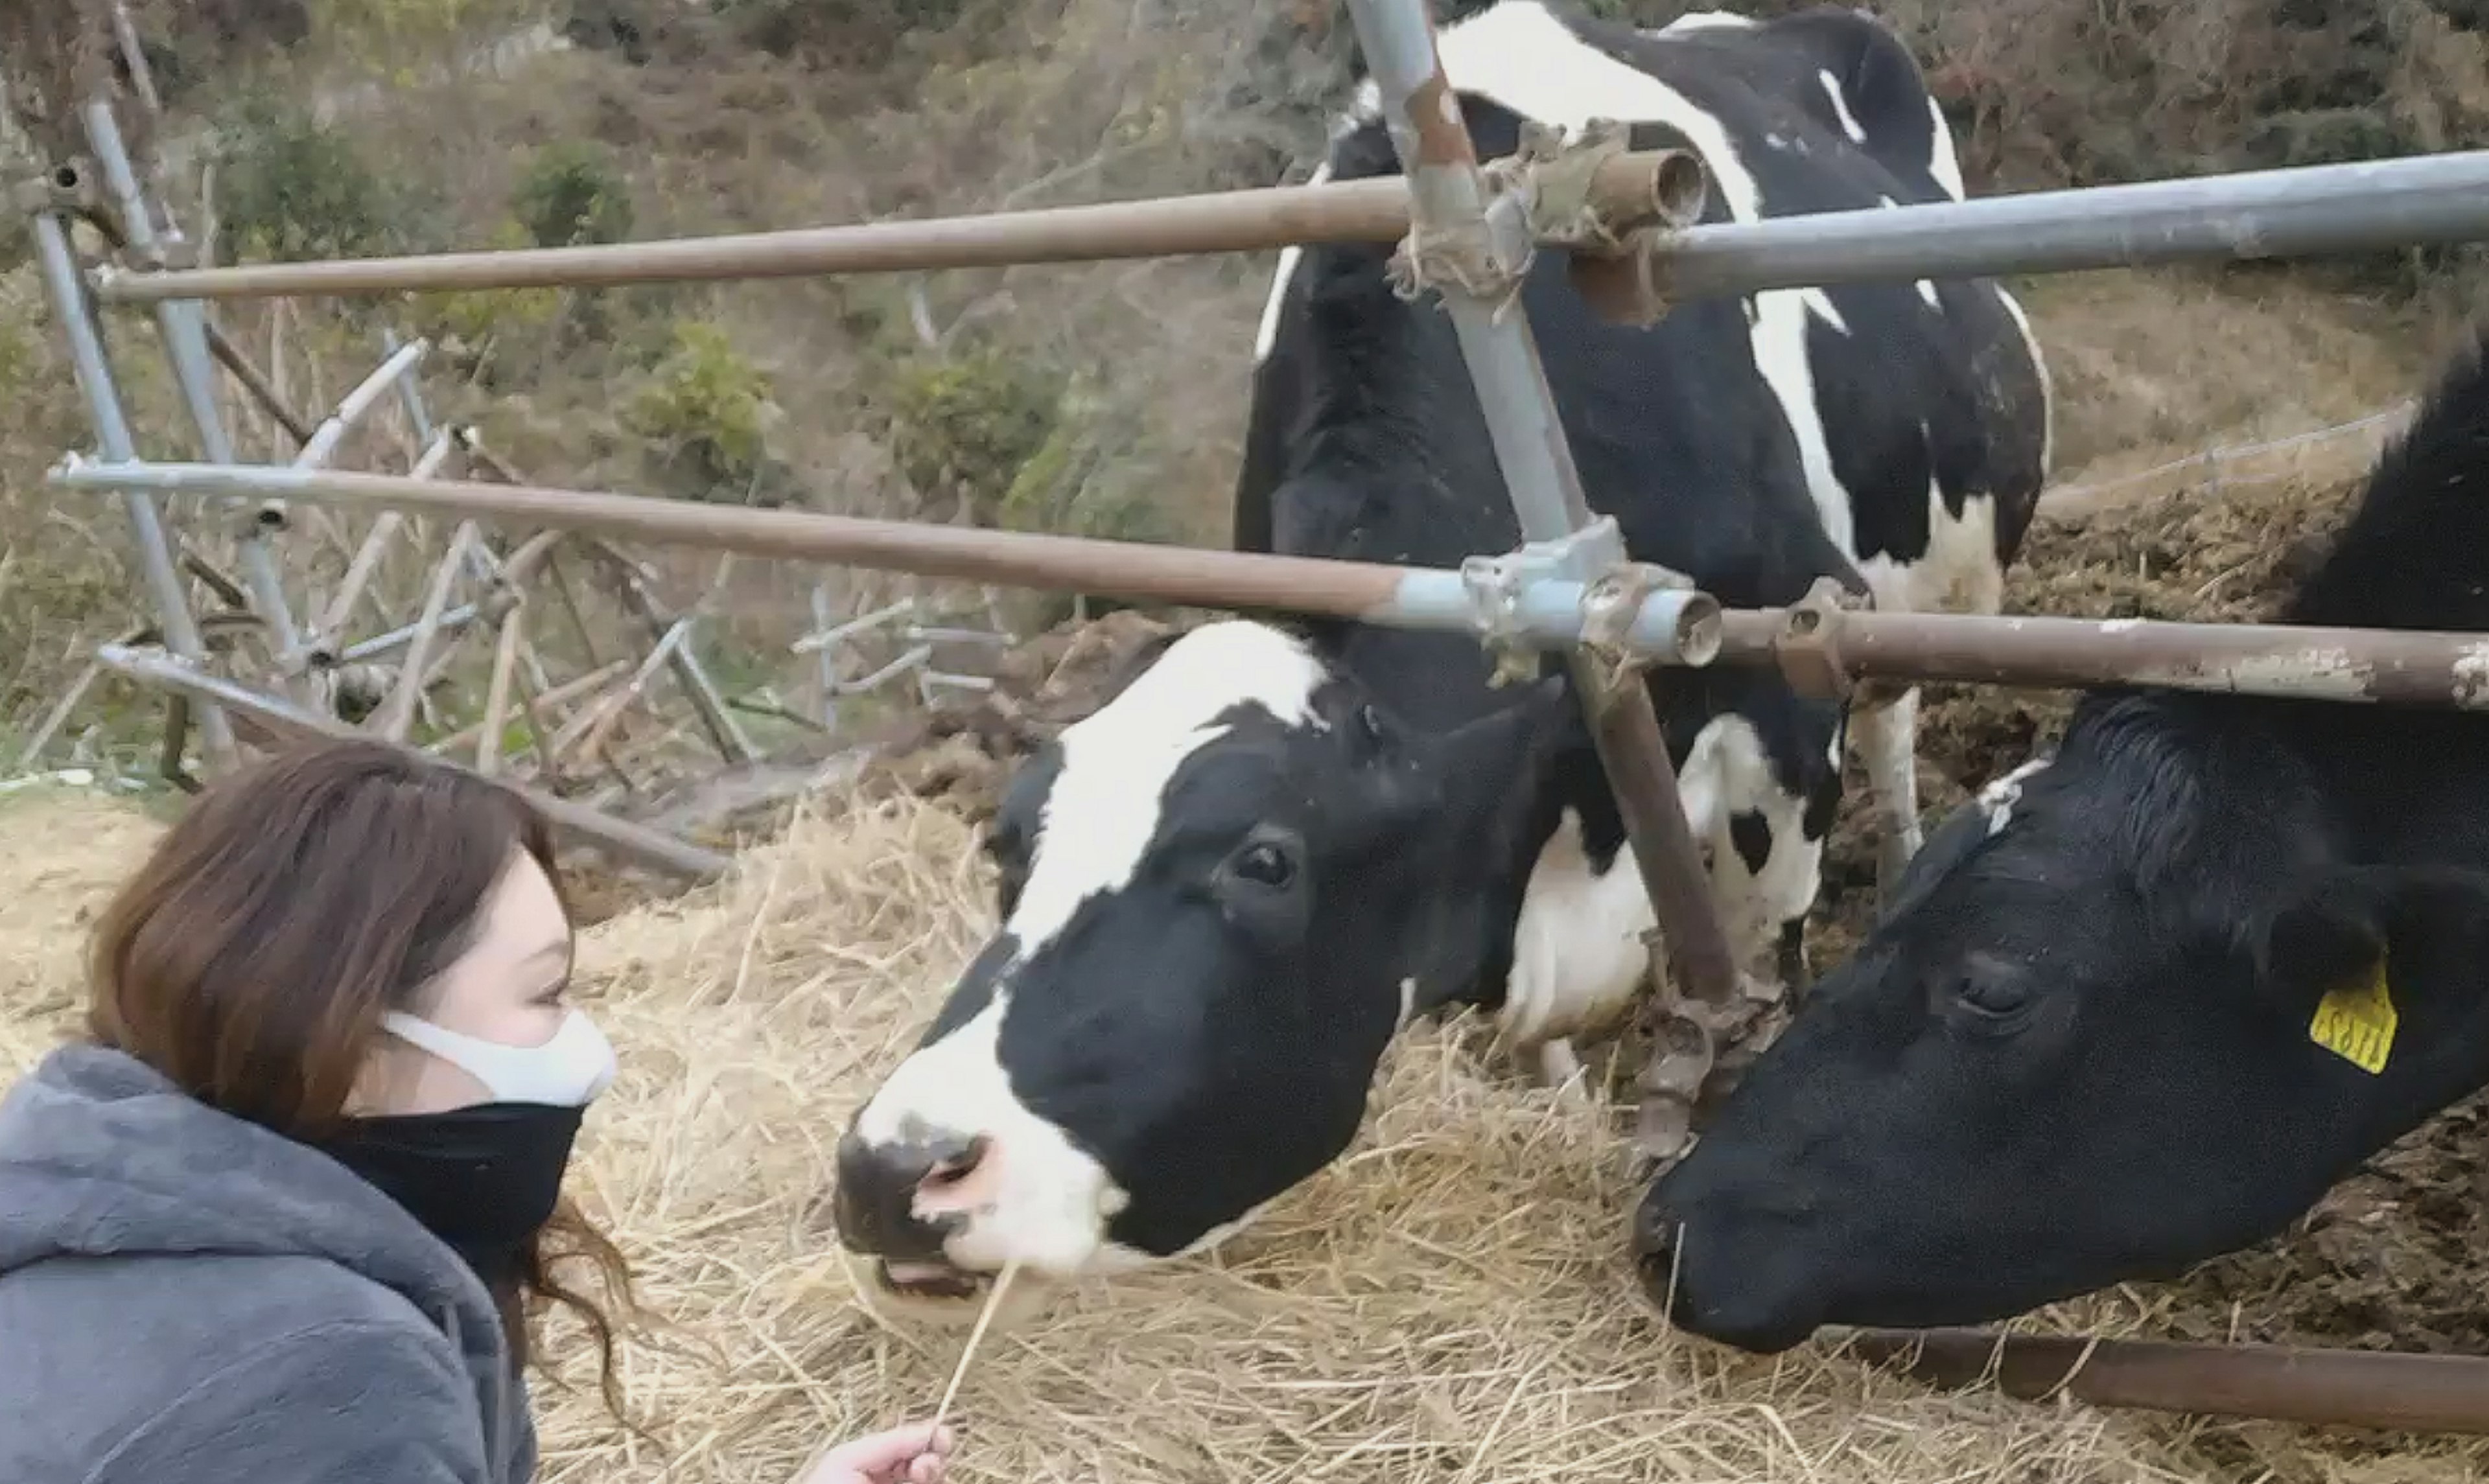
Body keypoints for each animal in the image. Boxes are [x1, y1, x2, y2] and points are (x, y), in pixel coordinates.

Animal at [831, 0, 2040, 1325]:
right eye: (1007, 839)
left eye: (1266, 861)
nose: (894, 1168)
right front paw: (1561, 1100)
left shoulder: (1777, 714)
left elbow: (1766, 944)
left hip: (1932, 590)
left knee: (1894, 724)